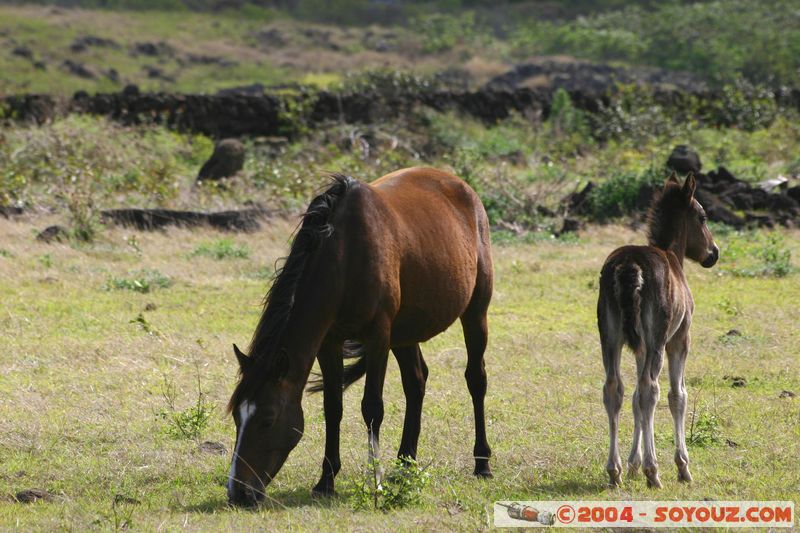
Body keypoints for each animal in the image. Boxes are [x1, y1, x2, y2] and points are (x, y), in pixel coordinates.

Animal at [225, 167, 494, 508]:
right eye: (237, 417)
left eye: (267, 419)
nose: (238, 492)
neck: (345, 254)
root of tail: (461, 186)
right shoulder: (329, 341)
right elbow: (333, 407)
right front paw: (326, 481)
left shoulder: (379, 336)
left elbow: (372, 408)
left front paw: (374, 483)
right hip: (405, 333)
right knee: (416, 382)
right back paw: (405, 466)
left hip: (475, 312)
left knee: (476, 379)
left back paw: (482, 463)